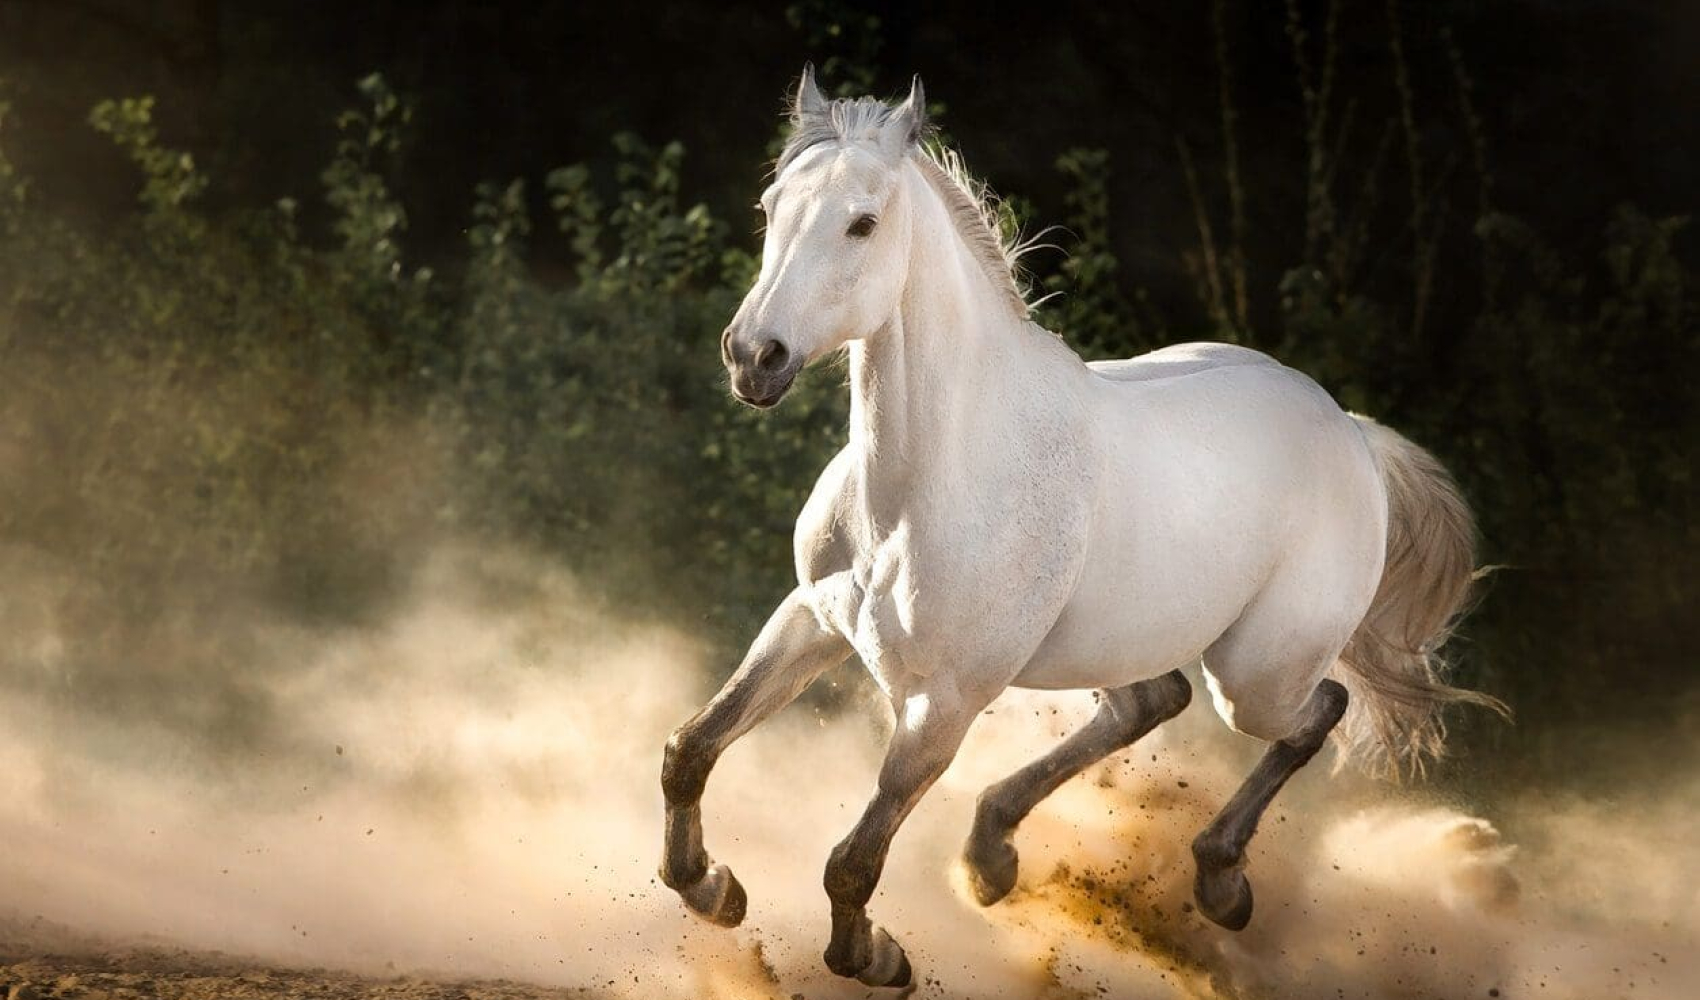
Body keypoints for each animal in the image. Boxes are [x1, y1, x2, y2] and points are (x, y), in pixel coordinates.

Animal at [659, 67, 1507, 989]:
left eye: (863, 223)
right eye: (771, 205)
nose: (755, 357)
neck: (926, 484)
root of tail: (1353, 432)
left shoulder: (943, 704)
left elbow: (853, 860)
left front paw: (878, 958)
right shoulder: (811, 619)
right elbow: (692, 748)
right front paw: (710, 888)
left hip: (1254, 678)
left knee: (1319, 707)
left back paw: (1219, 883)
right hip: (1115, 646)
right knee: (1154, 700)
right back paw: (992, 854)